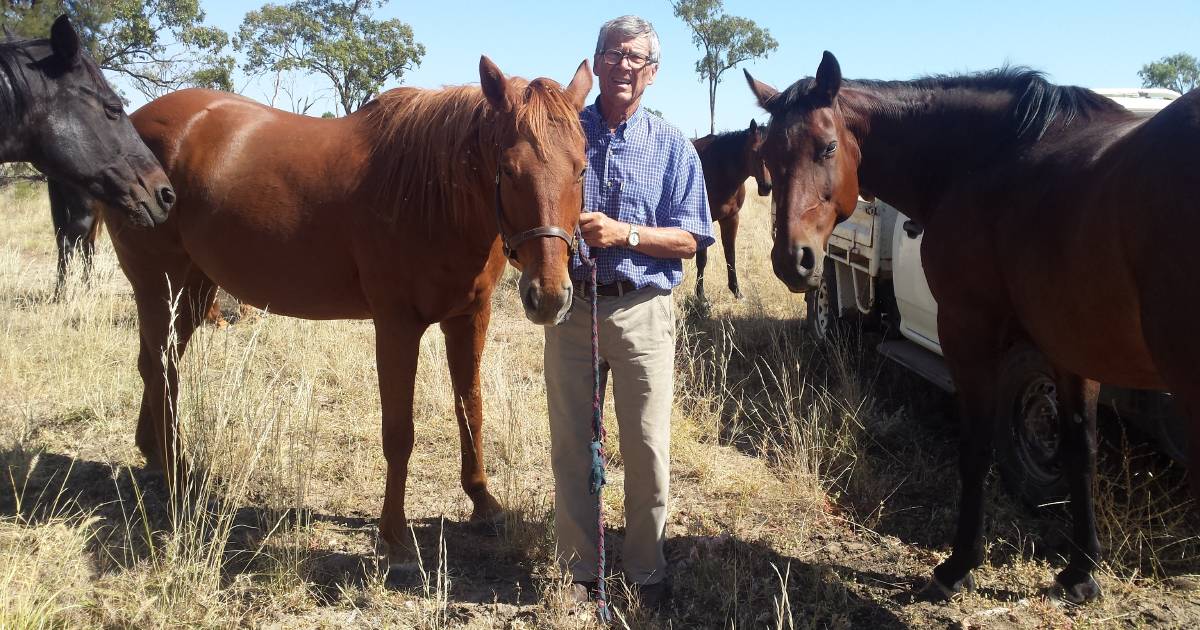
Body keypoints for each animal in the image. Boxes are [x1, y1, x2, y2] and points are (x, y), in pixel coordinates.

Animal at [102, 56, 590, 561]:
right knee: (161, 370)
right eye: (509, 170)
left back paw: (160, 458)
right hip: (158, 285)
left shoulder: (469, 318)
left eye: (581, 169)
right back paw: (177, 477)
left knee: (160, 365)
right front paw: (394, 535)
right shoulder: (397, 326)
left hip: (194, 289)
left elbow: (470, 409)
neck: (426, 192)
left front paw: (483, 501)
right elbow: (399, 433)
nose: (550, 296)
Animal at [691, 121, 772, 302]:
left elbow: (730, 255)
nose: (766, 187)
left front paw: (736, 291)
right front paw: (701, 296)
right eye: (754, 151)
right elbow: (702, 259)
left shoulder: (731, 218)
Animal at [748, 54, 1200, 604]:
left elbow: (978, 446)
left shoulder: (970, 330)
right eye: (767, 156)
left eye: (828, 147)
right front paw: (1080, 572)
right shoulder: (1069, 348)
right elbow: (1080, 452)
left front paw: (958, 566)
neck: (984, 162)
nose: (794, 259)